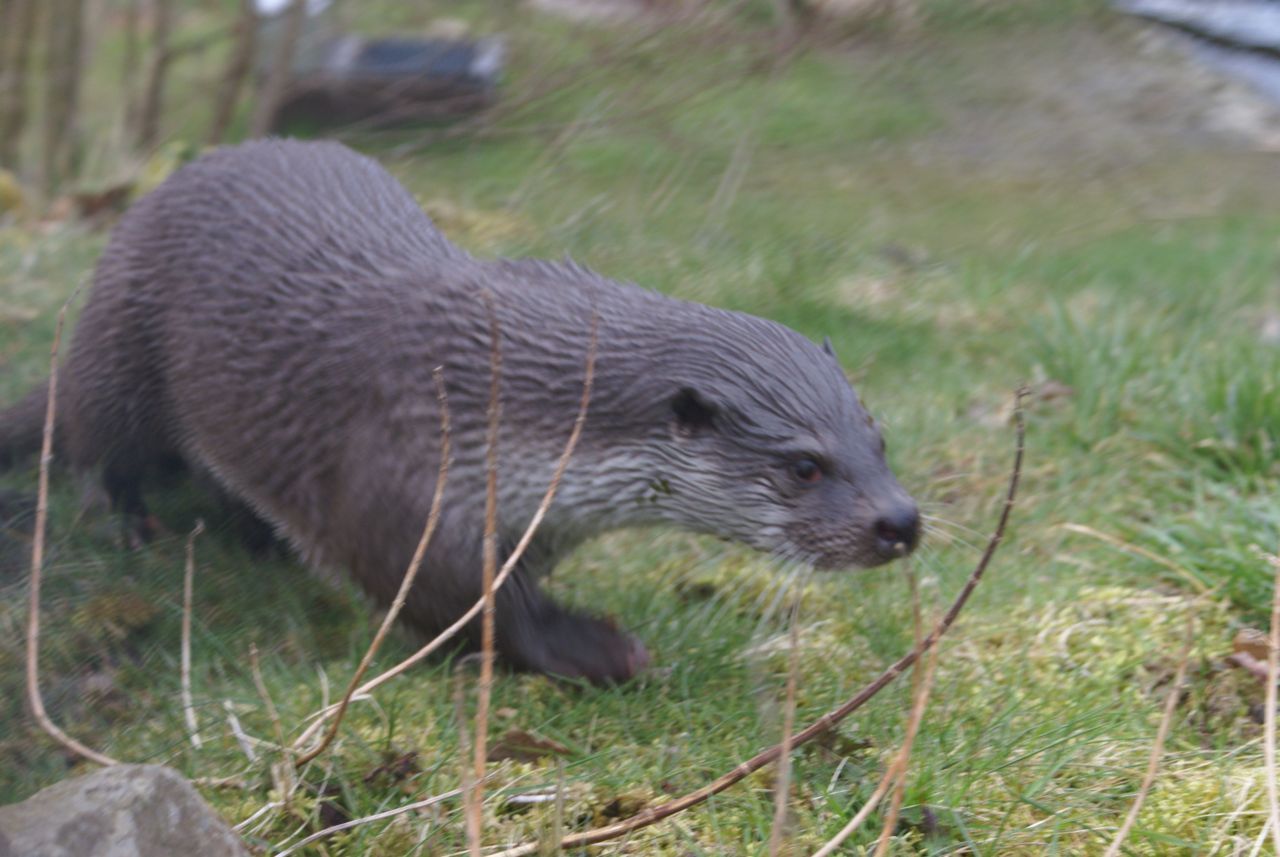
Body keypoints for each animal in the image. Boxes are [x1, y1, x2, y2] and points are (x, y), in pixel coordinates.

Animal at [0, 139, 921, 685]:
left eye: (878, 438)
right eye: (803, 465)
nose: (901, 521)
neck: (499, 403)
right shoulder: (406, 479)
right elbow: (456, 604)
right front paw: (597, 647)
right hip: (122, 346)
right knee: (95, 440)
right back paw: (129, 519)